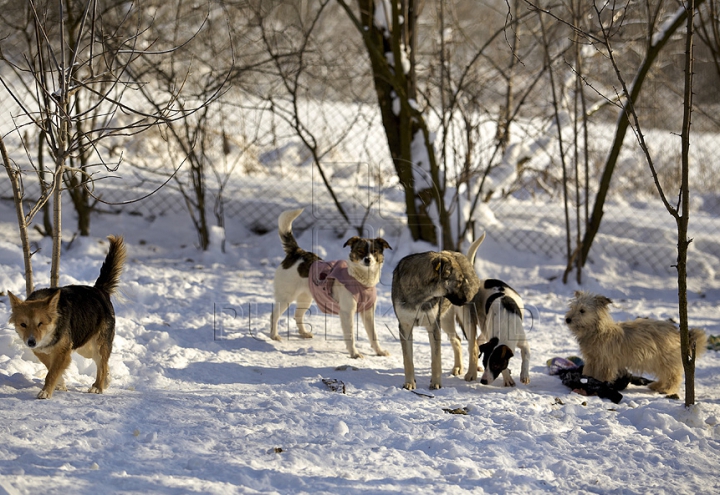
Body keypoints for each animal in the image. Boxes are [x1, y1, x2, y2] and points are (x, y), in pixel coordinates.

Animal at [270, 207, 394, 358]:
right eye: (360, 251)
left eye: (375, 251)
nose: (368, 260)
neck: (360, 280)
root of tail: (297, 252)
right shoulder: (347, 312)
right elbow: (350, 335)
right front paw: (354, 353)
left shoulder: (368, 312)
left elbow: (373, 335)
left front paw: (379, 351)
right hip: (286, 297)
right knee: (274, 315)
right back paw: (274, 336)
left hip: (306, 298)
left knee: (297, 315)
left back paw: (303, 333)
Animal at [564, 290, 708, 396]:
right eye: (572, 308)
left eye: (582, 311)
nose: (567, 319)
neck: (596, 331)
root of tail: (678, 333)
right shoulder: (592, 360)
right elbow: (589, 372)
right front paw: (586, 381)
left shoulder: (605, 362)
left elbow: (602, 376)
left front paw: (597, 386)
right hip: (658, 361)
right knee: (665, 375)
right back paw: (657, 385)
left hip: (664, 359)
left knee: (673, 376)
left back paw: (667, 389)